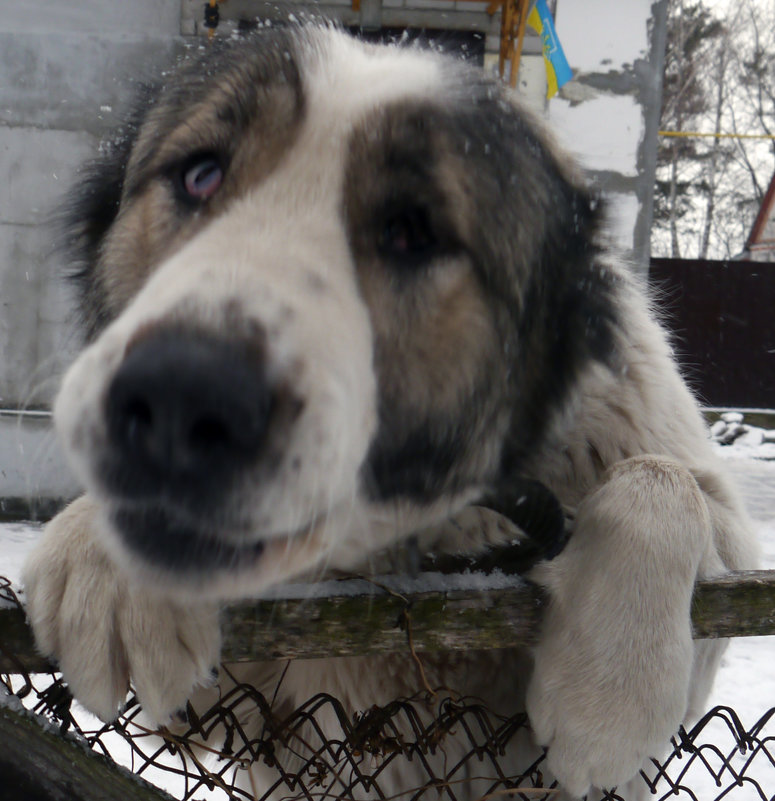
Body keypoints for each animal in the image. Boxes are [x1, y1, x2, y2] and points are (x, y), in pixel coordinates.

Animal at [22, 25, 756, 800]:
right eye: (200, 176)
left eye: (412, 230)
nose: (179, 393)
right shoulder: (245, 707)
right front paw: (107, 553)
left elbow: (667, 482)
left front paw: (610, 694)